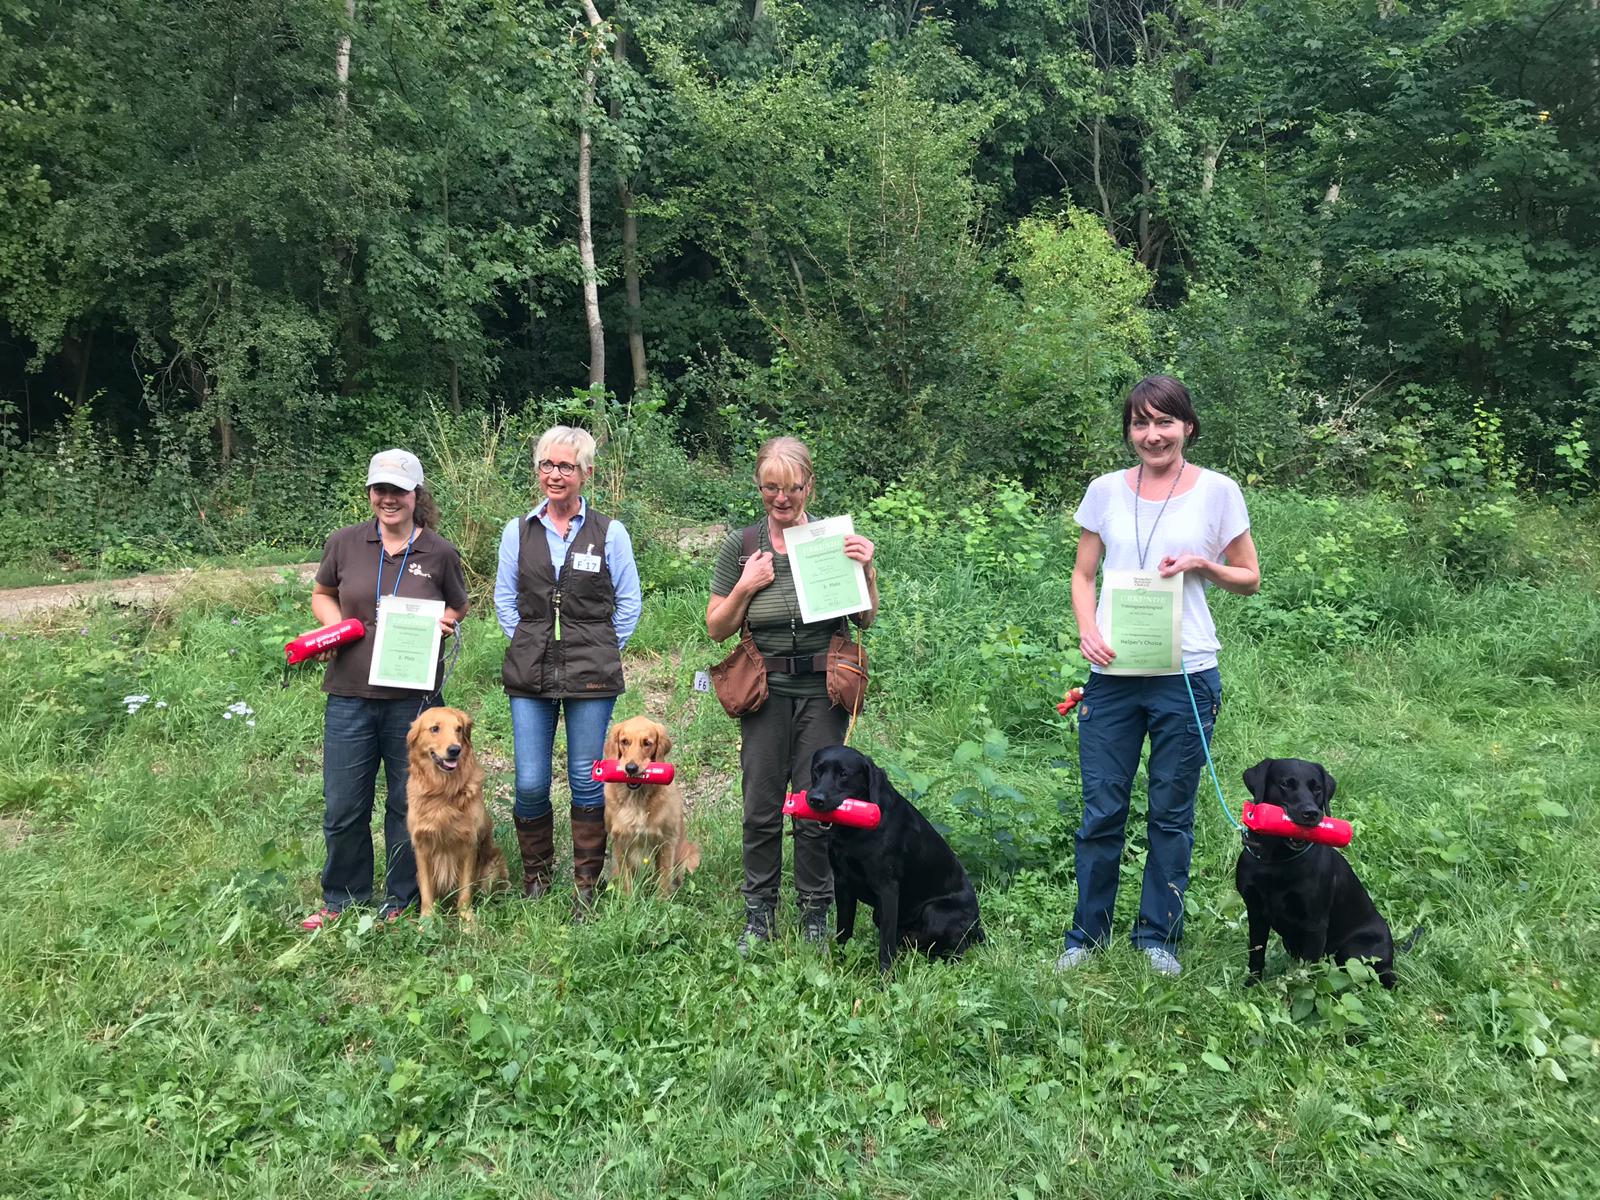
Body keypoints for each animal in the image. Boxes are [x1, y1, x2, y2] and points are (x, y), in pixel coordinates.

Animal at [406, 710, 505, 928]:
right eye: (435, 728)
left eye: (458, 729)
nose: (454, 750)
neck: (442, 791)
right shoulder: (422, 847)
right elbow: (427, 890)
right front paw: (426, 922)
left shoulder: (468, 844)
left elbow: (465, 891)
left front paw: (467, 922)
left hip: (493, 864)